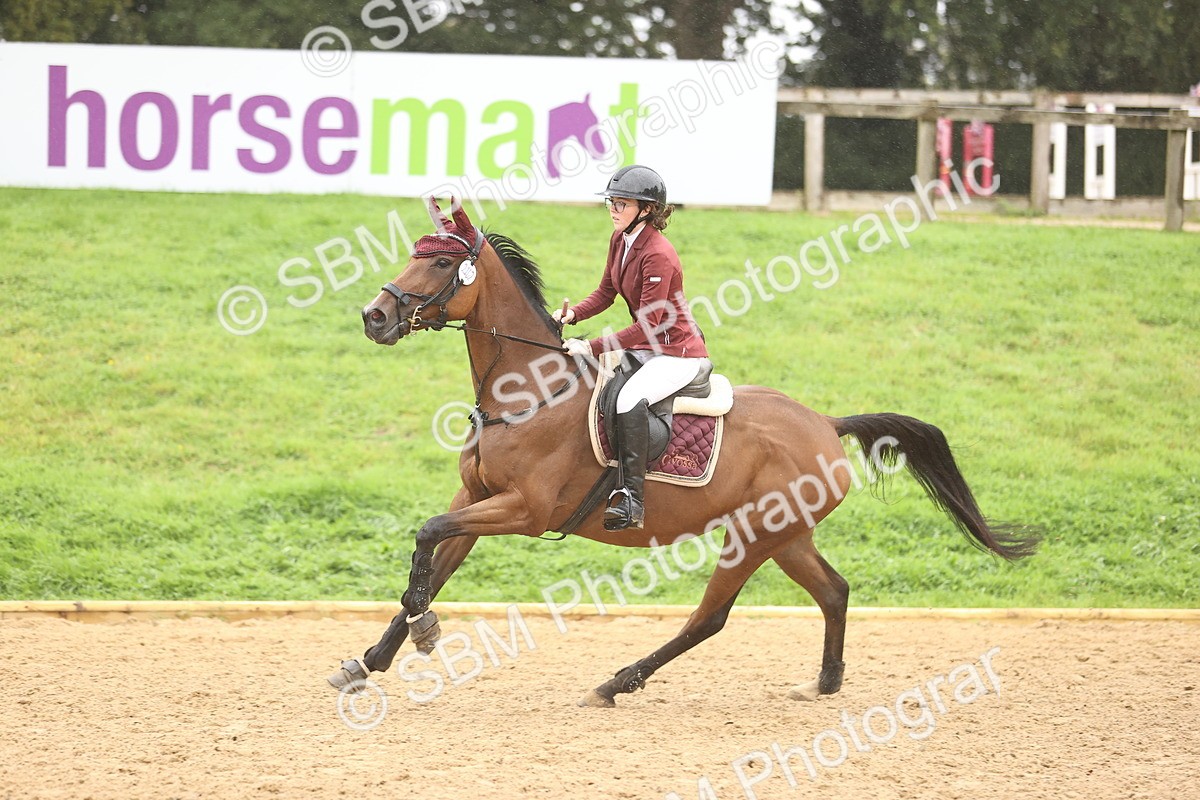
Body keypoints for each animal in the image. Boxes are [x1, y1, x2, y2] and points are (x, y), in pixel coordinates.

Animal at [333, 197, 1039, 707]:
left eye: (440, 264)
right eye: (415, 253)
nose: (373, 317)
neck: (527, 391)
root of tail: (824, 423)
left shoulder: (524, 510)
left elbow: (428, 538)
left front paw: (422, 631)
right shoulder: (478, 496)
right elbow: (435, 559)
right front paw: (370, 660)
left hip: (753, 536)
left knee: (710, 618)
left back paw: (615, 684)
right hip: (786, 534)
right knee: (834, 591)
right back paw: (825, 681)